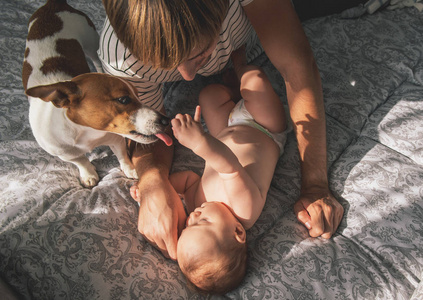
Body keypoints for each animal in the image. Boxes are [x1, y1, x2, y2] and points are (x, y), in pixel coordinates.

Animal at [22, 0, 172, 186]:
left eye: (138, 95)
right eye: (123, 99)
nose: (166, 120)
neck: (88, 132)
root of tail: (53, 5)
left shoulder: (116, 139)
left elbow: (122, 156)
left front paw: (131, 170)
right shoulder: (65, 153)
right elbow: (81, 161)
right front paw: (88, 174)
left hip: (90, 41)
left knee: (95, 58)